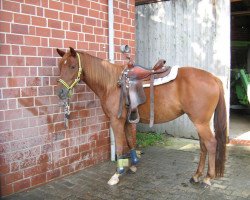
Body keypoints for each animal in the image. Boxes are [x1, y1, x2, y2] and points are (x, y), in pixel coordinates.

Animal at [55, 47, 228, 188]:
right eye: (60, 66)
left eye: (72, 66)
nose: (61, 93)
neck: (111, 83)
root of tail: (214, 78)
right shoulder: (126, 121)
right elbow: (130, 141)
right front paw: (133, 165)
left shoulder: (116, 121)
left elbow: (120, 145)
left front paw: (118, 173)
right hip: (200, 122)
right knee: (203, 146)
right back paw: (196, 175)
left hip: (201, 122)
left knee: (211, 144)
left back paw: (207, 178)